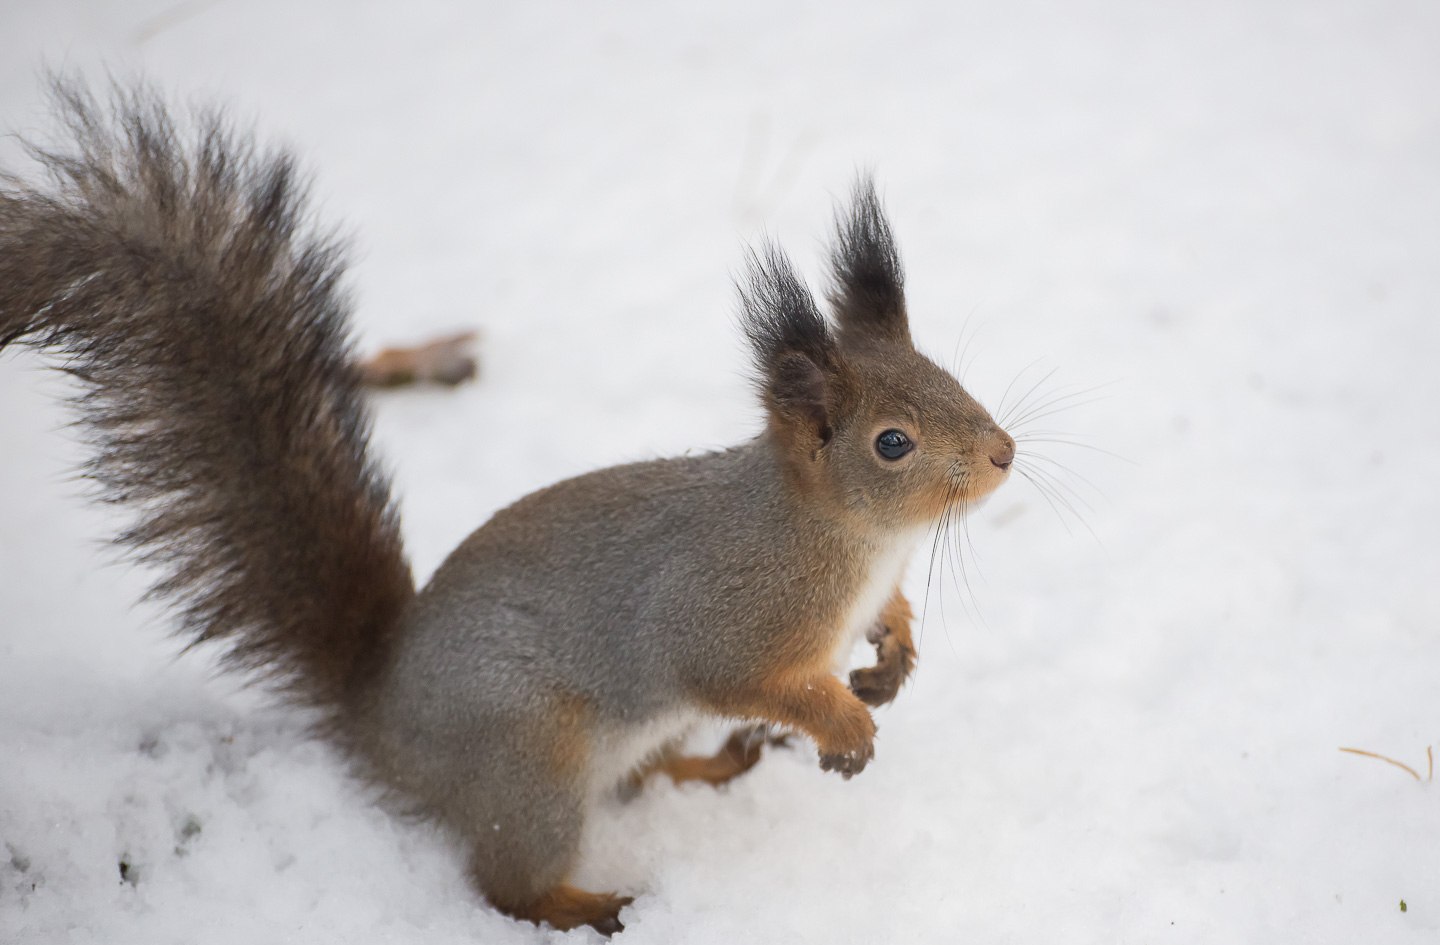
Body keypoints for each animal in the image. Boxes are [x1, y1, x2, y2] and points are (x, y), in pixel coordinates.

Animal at [0, 83, 1013, 939]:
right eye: (893, 442)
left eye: (948, 376)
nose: (1005, 454)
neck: (856, 537)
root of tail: (381, 716)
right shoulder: (728, 609)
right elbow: (743, 674)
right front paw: (845, 721)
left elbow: (888, 622)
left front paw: (892, 658)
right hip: (531, 757)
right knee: (504, 882)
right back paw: (586, 904)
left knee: (644, 777)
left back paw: (709, 766)